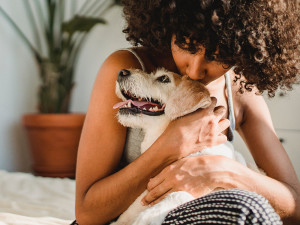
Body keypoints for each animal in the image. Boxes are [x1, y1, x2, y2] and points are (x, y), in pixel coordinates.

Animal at [112, 68, 248, 225]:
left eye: (164, 78)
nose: (122, 72)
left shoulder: (186, 189)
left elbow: (152, 212)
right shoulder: (147, 193)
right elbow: (129, 212)